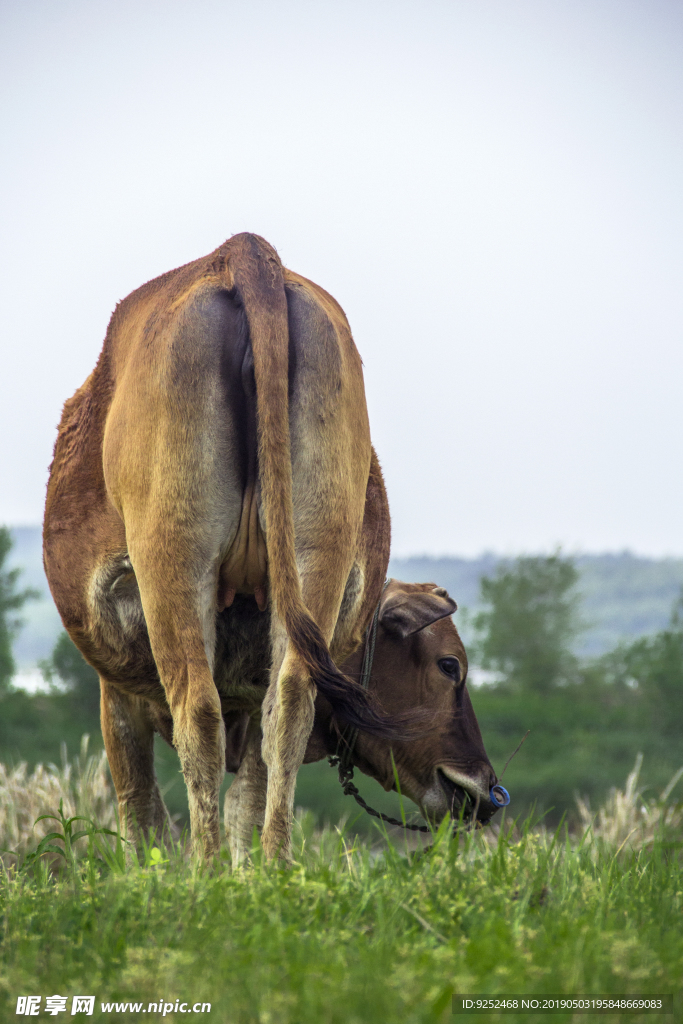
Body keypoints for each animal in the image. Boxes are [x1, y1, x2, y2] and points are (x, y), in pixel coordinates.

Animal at [42, 232, 501, 864]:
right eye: (450, 665)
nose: (485, 790)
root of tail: (245, 253)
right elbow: (239, 797)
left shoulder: (117, 691)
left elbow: (143, 811)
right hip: (314, 556)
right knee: (288, 705)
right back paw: (276, 865)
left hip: (173, 560)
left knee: (198, 711)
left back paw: (206, 870)